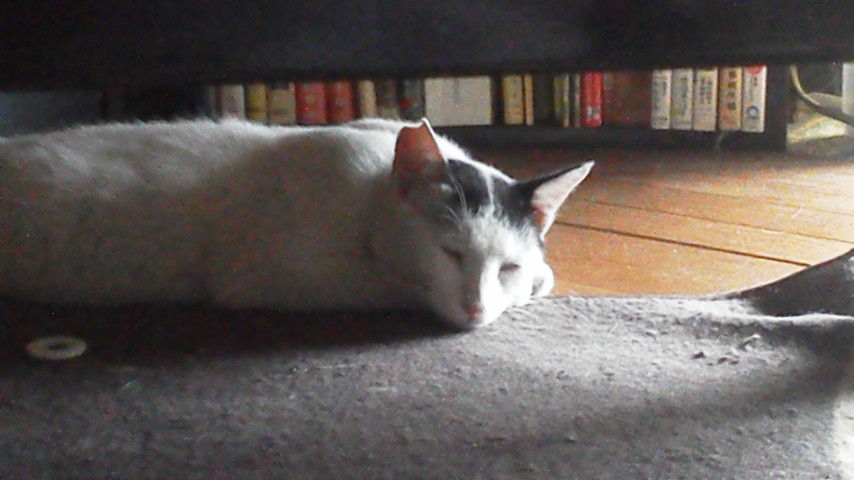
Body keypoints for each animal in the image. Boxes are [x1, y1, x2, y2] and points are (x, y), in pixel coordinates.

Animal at [0, 117, 593, 329]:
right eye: (450, 253)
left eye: (506, 266)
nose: (475, 307)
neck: (371, 194)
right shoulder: (286, 275)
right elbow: (393, 287)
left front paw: (536, 277)